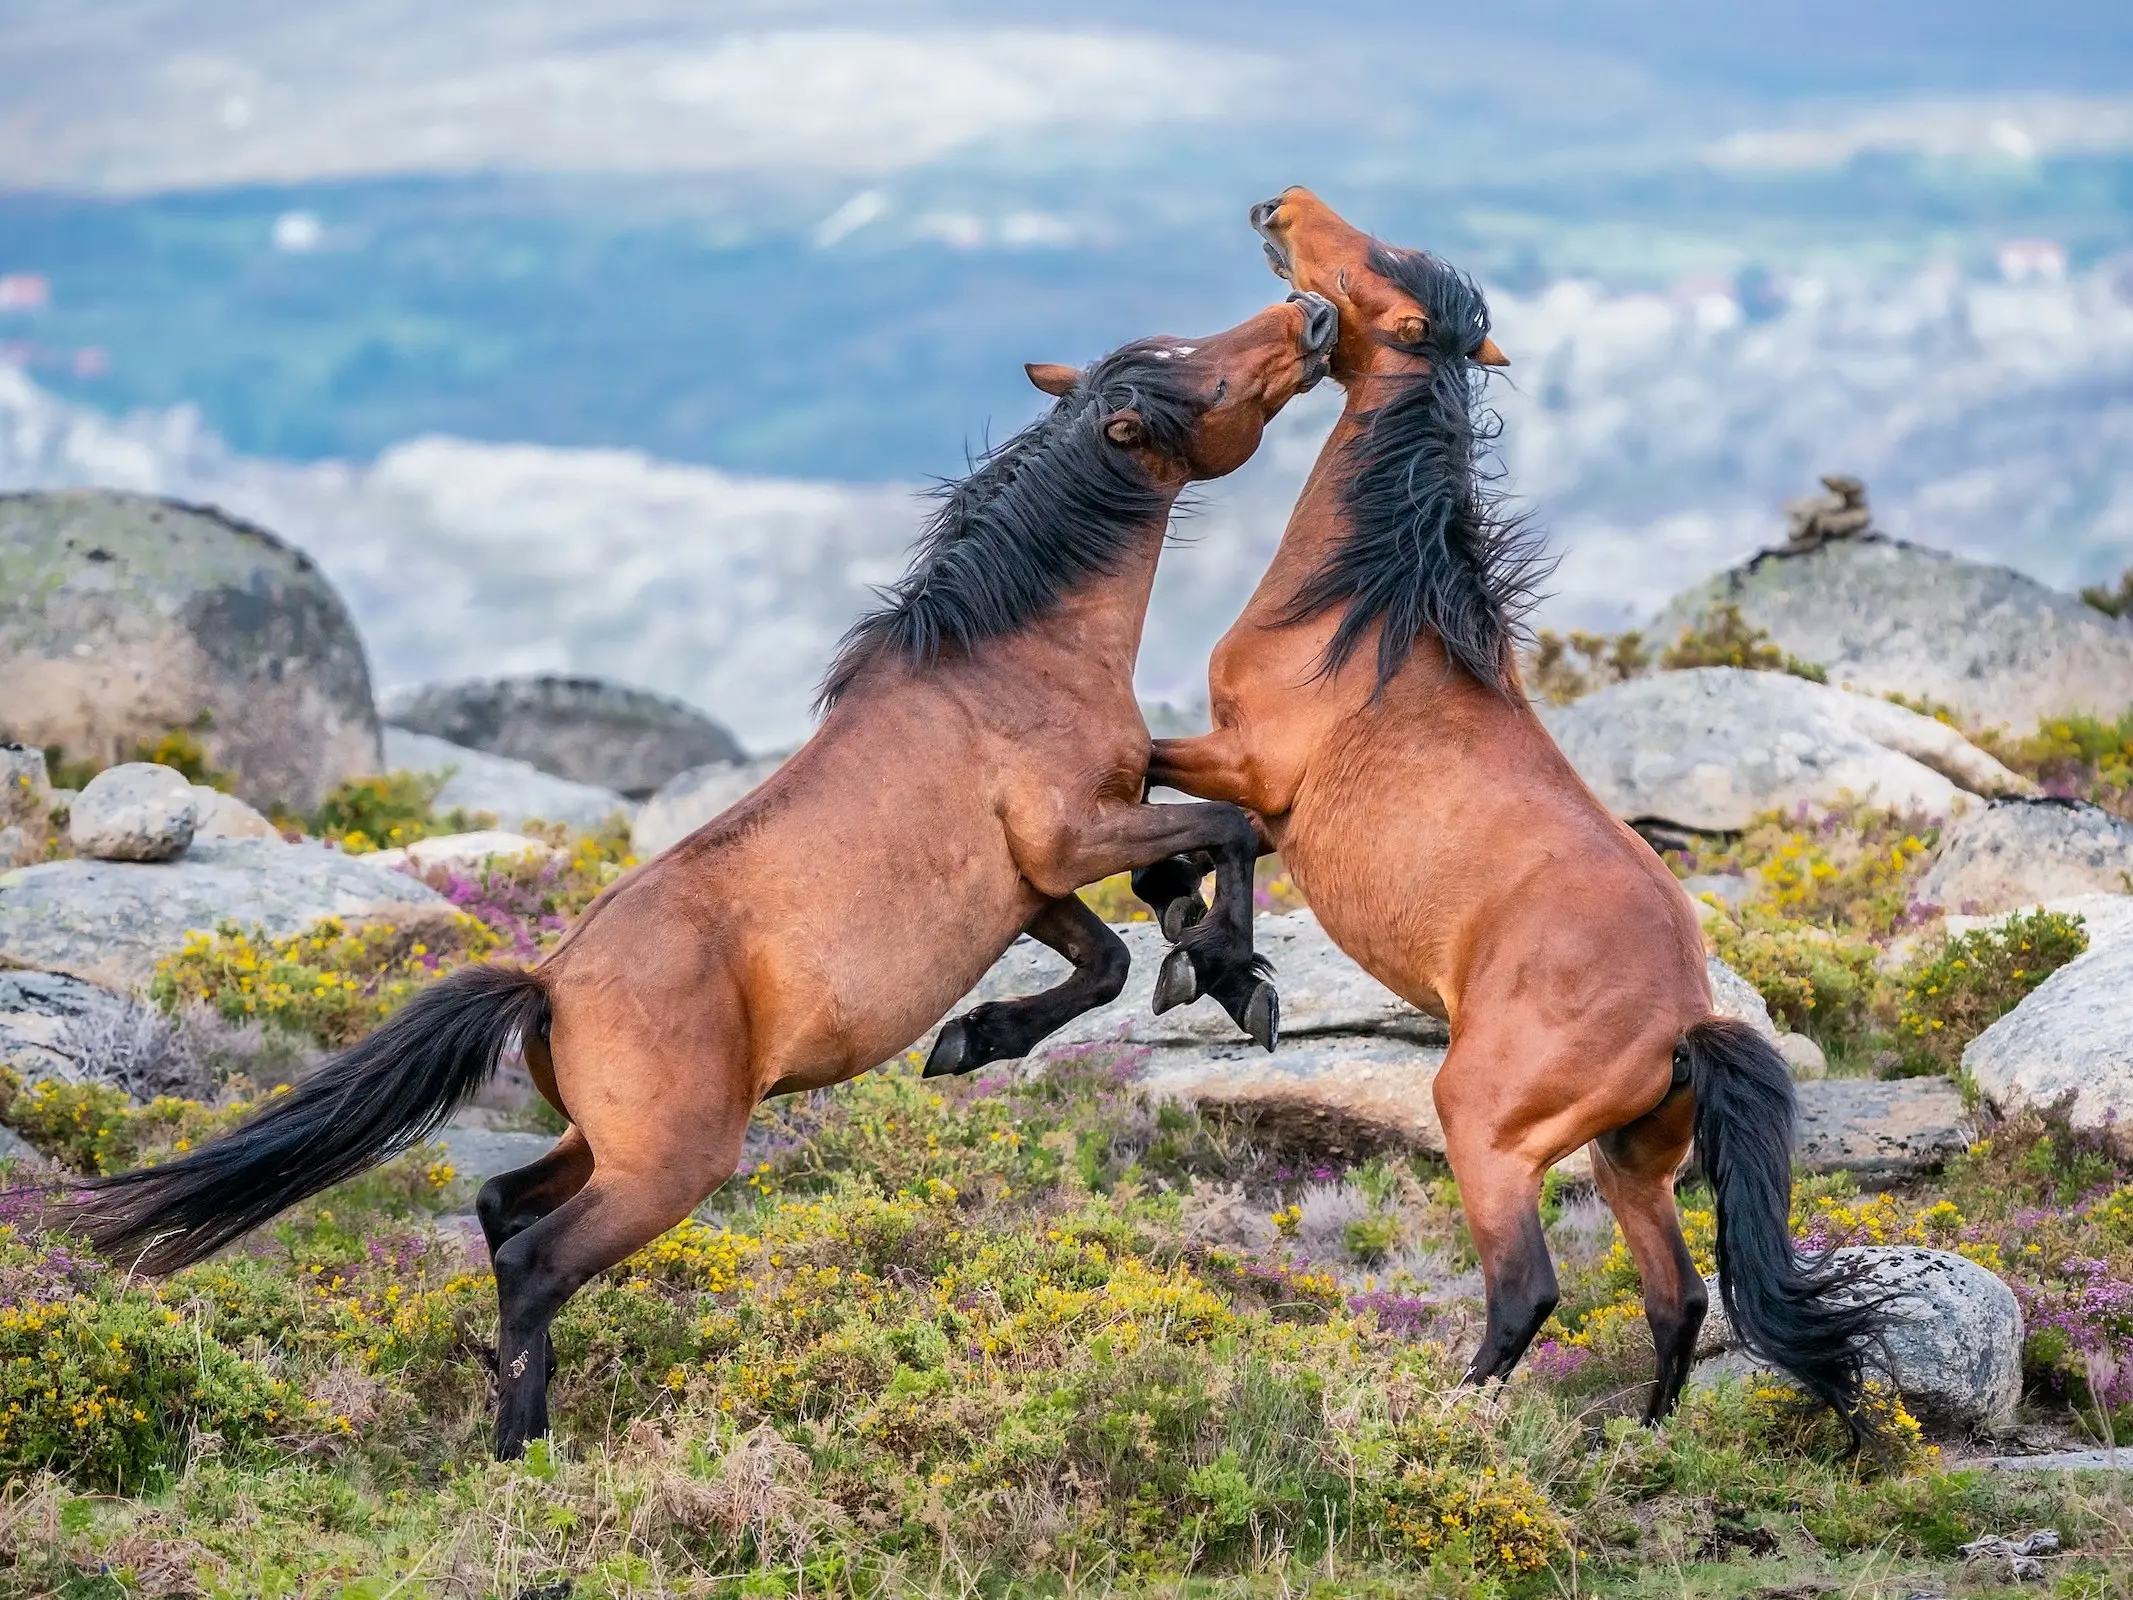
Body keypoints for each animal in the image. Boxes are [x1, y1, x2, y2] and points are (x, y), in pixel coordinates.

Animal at [75, 292, 1339, 1467]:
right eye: (1196, 371)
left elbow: (1118, 949)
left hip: (606, 1146)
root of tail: (548, 983)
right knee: (533, 1258)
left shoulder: (1035, 886)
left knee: (497, 1206)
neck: (1010, 664)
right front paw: (1236, 978)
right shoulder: (1071, 840)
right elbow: (1230, 834)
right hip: (671, 1166)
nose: (1312, 315)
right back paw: (522, 1447)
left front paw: (986, 1035)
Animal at [1134, 194, 1885, 1433]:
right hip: (1630, 1163)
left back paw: (1445, 1414)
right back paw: (1636, 1439)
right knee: (1679, 1297)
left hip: (1485, 1126)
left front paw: (1213, 967)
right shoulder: (1260, 793)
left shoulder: (1248, 768)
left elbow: (1176, 807)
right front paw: (1213, 966)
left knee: (1528, 1287)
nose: (1278, 209)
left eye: (1370, 271)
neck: (1368, 615)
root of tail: (1684, 1024)